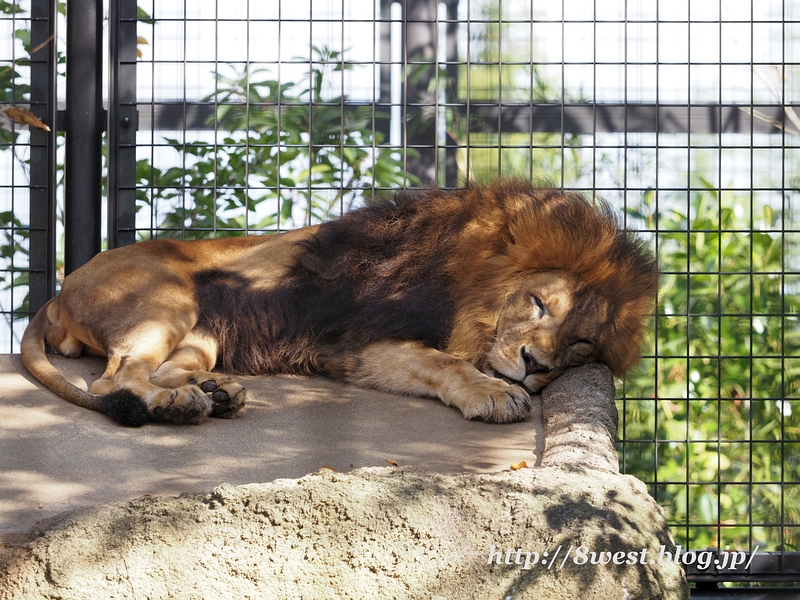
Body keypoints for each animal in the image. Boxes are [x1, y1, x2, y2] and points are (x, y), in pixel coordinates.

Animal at [21, 179, 656, 426]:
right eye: (538, 303)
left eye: (582, 342)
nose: (534, 365)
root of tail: (58, 292)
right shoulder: (356, 343)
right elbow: (442, 362)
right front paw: (496, 392)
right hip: (168, 299)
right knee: (115, 380)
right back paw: (179, 404)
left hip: (203, 332)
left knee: (153, 371)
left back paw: (214, 392)